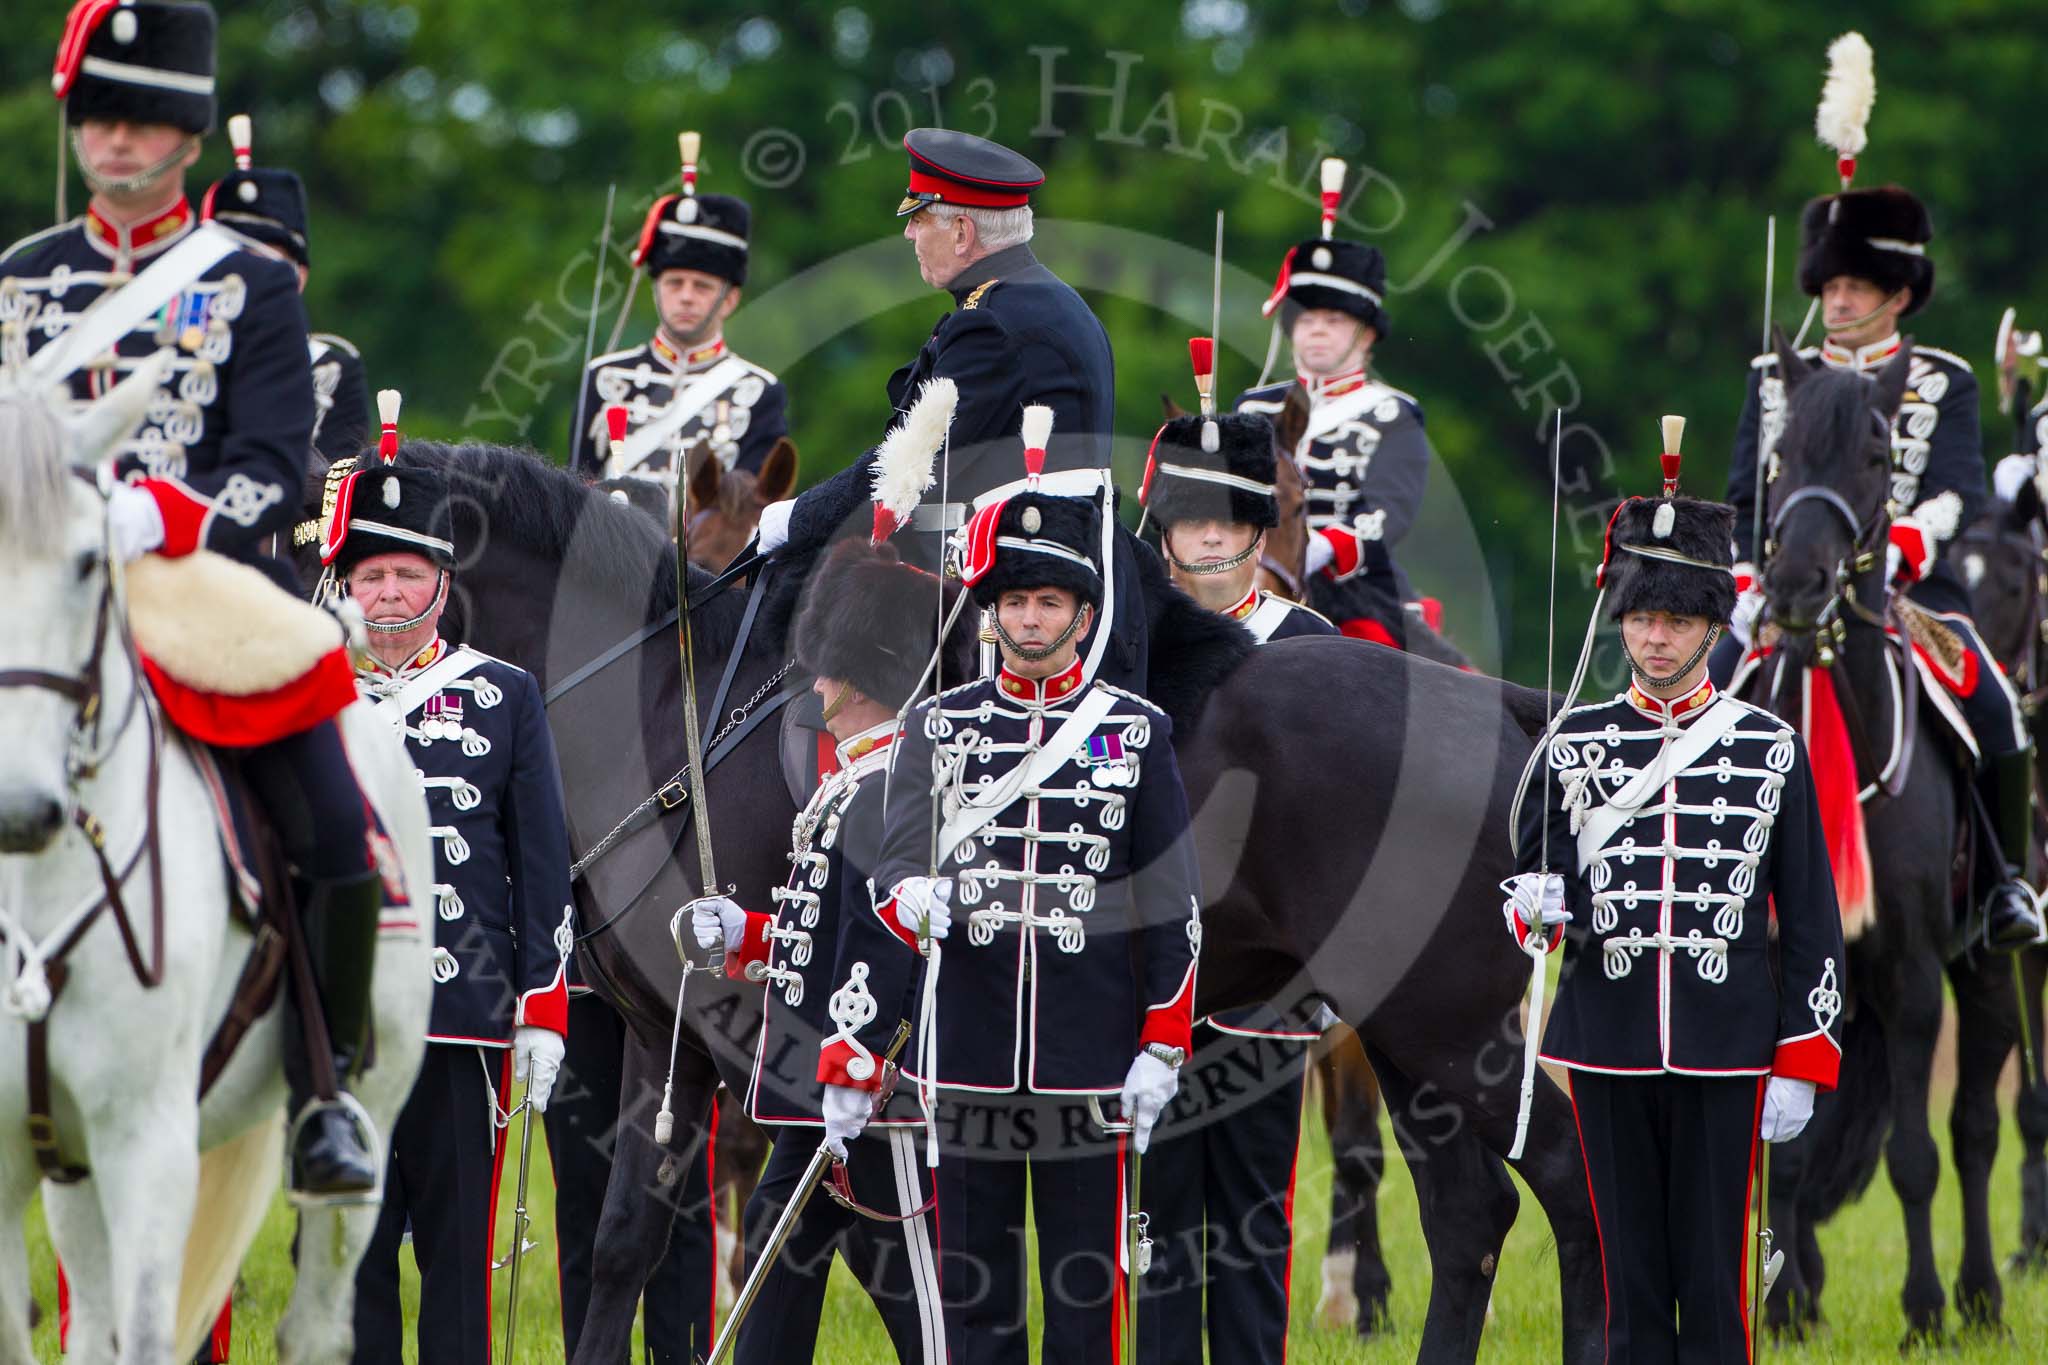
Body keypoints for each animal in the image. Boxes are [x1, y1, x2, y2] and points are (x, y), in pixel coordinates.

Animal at [307, 444, 1613, 1358]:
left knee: (1558, 1182)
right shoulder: (666, 1047)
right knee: (1467, 1216)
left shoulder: (805, 1055)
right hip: (1402, 1032)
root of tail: (1506, 707)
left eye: (341, 578)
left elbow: (835, 1245)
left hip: (1451, 1028)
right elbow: (638, 1238)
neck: (661, 717)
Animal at [1744, 335, 2015, 1342]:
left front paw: (1926, 1309)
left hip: (1987, 967)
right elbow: (1786, 1151)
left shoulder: (1910, 974)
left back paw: (1980, 1296)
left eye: (1873, 455)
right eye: (1780, 457)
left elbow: (1915, 1155)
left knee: (1975, 1126)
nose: (1793, 588)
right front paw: (1784, 1307)